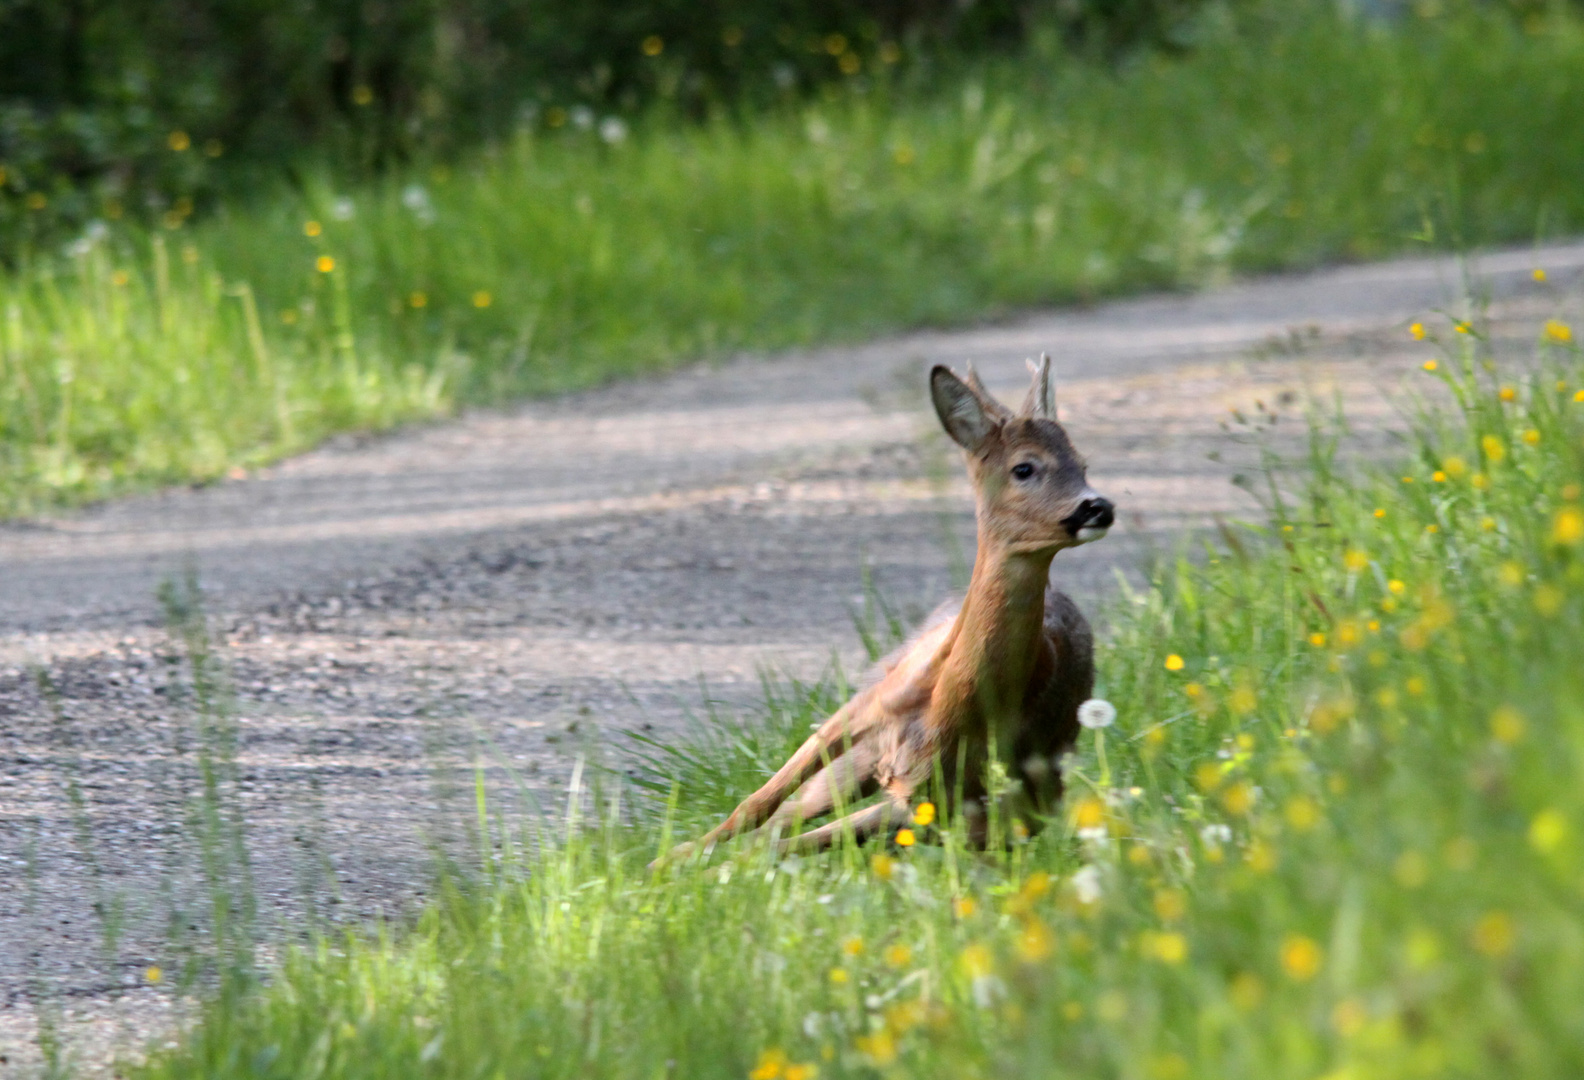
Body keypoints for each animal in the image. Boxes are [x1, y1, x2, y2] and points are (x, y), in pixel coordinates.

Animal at [658, 357, 1115, 861]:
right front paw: (666, 861)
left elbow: (788, 838)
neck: (957, 703)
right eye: (1024, 467)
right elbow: (759, 802)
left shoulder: (947, 793)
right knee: (789, 812)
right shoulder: (866, 708)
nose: (1097, 506)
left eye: (1083, 464)